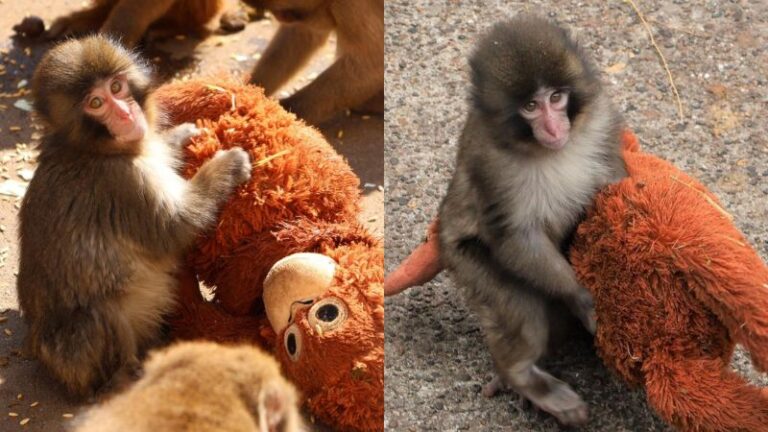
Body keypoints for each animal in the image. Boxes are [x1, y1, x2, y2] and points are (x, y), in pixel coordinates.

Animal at [18, 35, 252, 398]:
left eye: (117, 87)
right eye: (96, 102)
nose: (126, 113)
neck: (94, 149)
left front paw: (178, 136)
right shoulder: (123, 182)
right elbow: (176, 227)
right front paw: (226, 165)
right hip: (75, 358)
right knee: (100, 314)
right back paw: (124, 378)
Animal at [244, 0, 384, 125]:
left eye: (282, 13)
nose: (280, 17)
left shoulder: (350, 5)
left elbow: (372, 64)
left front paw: (283, 115)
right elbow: (303, 32)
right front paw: (250, 88)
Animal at [437, 15, 626, 426]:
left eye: (556, 98)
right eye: (529, 106)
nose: (554, 128)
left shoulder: (601, 120)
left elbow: (616, 183)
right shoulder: (489, 163)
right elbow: (514, 237)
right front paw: (581, 297)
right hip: (464, 260)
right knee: (522, 311)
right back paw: (521, 376)